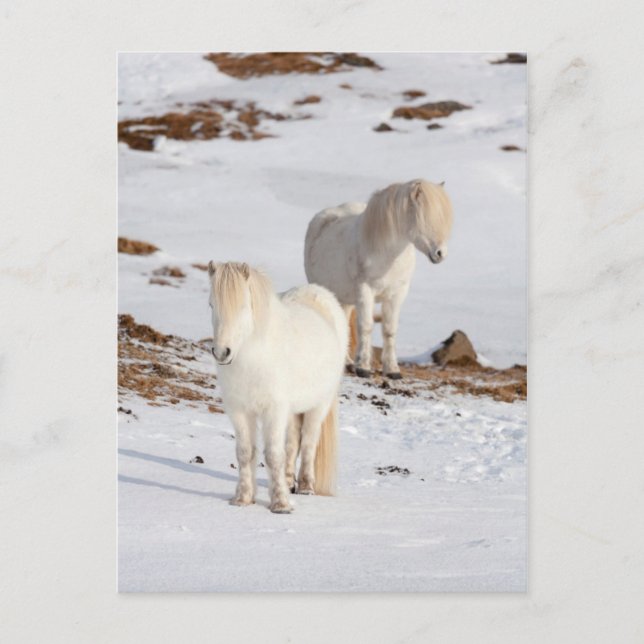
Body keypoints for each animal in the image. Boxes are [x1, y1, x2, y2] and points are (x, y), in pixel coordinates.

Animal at [208, 261, 348, 514]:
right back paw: (290, 481)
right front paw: (243, 499)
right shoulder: (239, 411)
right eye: (211, 304)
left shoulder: (273, 410)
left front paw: (280, 504)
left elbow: (273, 455)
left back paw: (305, 487)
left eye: (243, 306)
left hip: (319, 405)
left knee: (309, 441)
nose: (222, 352)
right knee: (292, 443)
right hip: (292, 411)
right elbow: (245, 453)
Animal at [304, 179, 453, 379]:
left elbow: (389, 330)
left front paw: (392, 370)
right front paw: (363, 368)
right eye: (424, 217)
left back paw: (347, 363)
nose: (440, 253)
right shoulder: (365, 291)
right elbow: (366, 327)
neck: (388, 254)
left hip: (345, 299)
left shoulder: (397, 294)